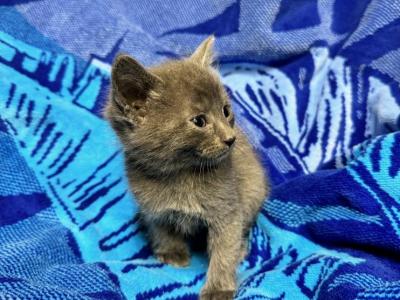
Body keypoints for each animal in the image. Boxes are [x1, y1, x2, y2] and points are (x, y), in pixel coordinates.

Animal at [104, 36, 270, 298]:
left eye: (226, 111)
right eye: (199, 121)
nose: (230, 138)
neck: (179, 174)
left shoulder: (228, 209)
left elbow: (225, 249)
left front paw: (219, 288)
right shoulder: (152, 206)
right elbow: (161, 229)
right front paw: (171, 252)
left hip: (254, 190)